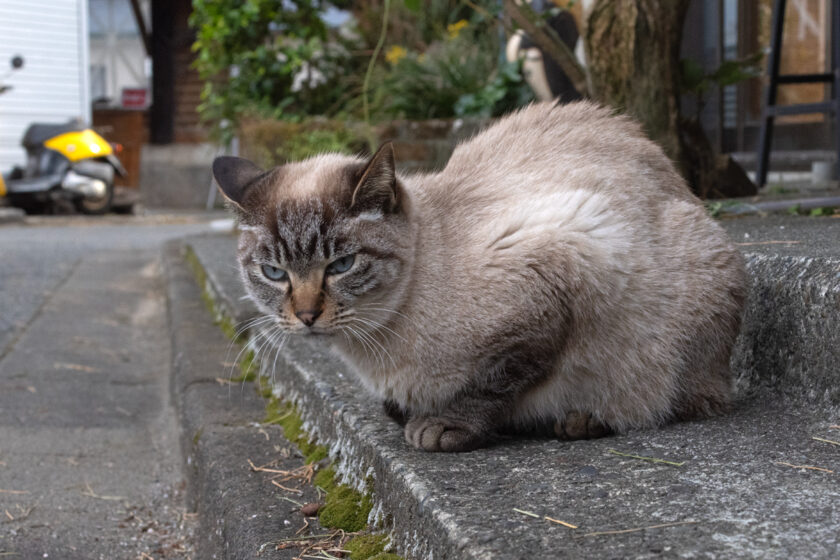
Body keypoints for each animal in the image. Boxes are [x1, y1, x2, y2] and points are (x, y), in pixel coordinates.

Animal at [212, 100, 748, 450]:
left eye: (340, 265)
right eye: (274, 272)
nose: (305, 316)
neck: (375, 350)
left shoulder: (562, 270)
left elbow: (491, 382)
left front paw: (442, 427)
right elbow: (402, 403)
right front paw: (408, 412)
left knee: (674, 401)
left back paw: (582, 421)